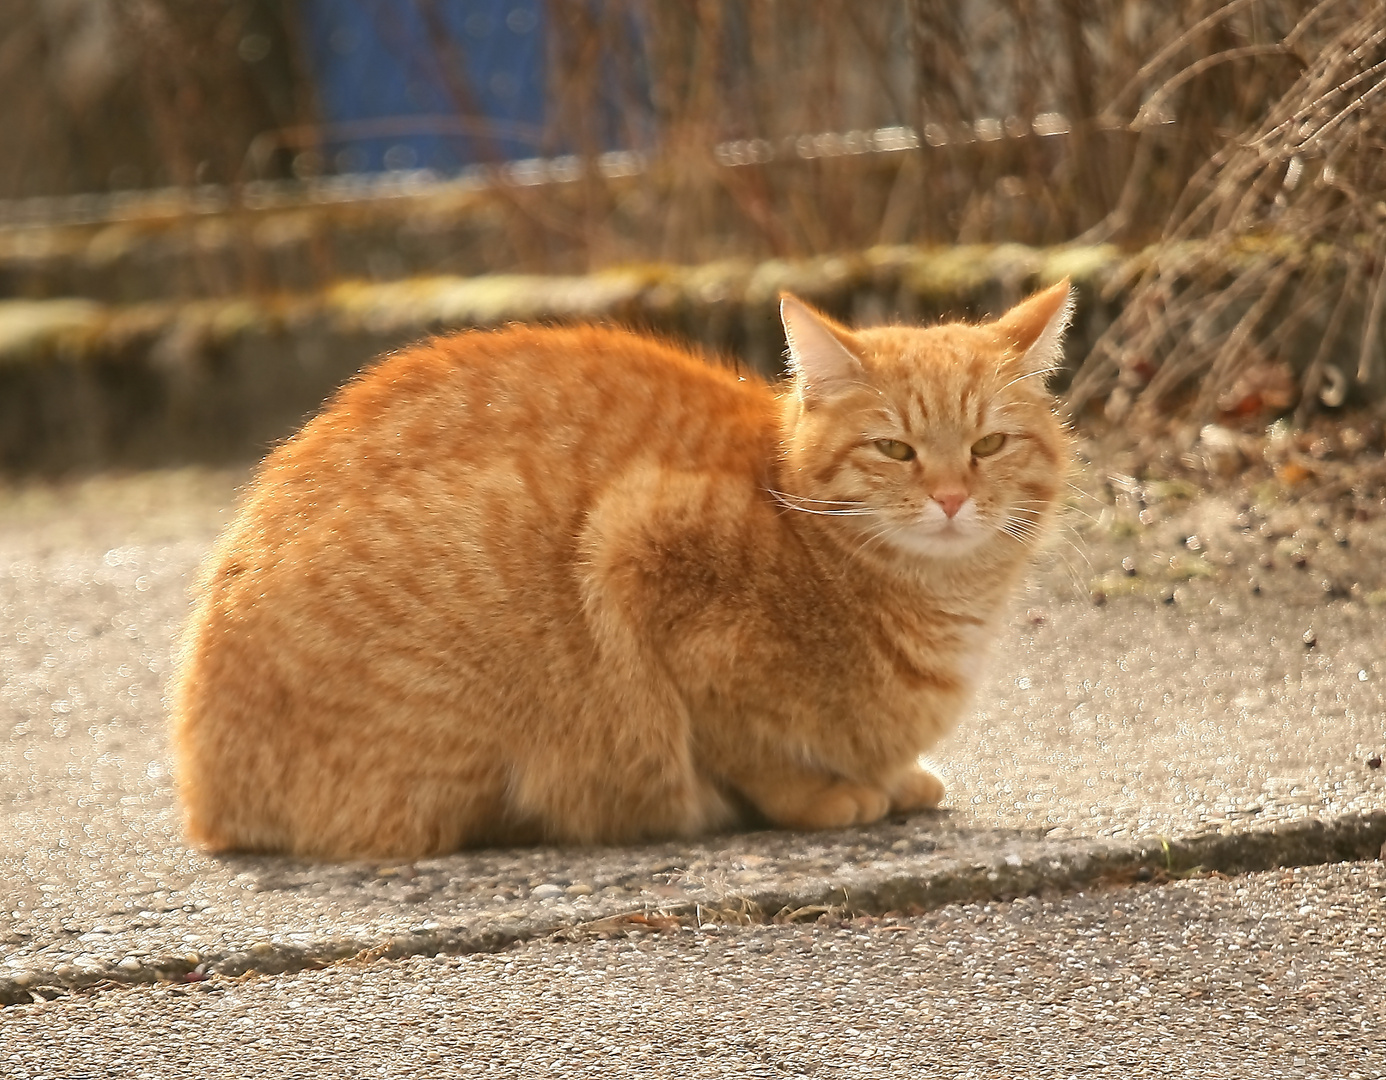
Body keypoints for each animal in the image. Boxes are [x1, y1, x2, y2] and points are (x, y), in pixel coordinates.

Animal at [170, 282, 1069, 859]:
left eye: (990, 444)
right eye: (895, 449)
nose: (951, 497)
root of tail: (203, 798)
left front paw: (893, 775)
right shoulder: (637, 549)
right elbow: (746, 748)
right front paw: (825, 794)